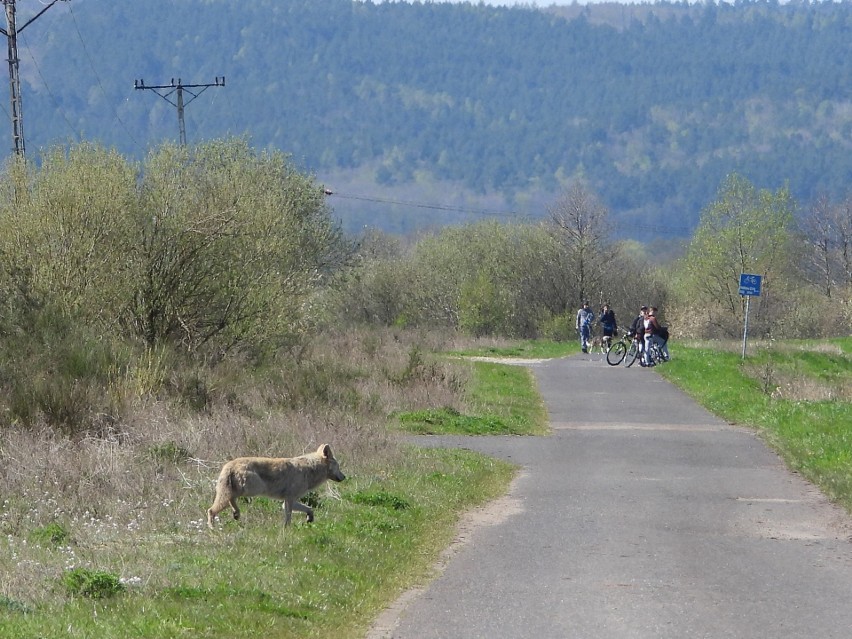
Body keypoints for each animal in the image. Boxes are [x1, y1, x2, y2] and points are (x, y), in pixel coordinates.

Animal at [207, 444, 346, 528]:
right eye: (338, 467)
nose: (344, 477)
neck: (310, 469)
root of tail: (228, 465)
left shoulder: (288, 500)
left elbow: (309, 508)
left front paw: (309, 518)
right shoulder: (289, 499)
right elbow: (288, 517)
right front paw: (287, 529)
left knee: (229, 500)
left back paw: (236, 513)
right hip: (254, 489)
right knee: (212, 509)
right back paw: (213, 527)